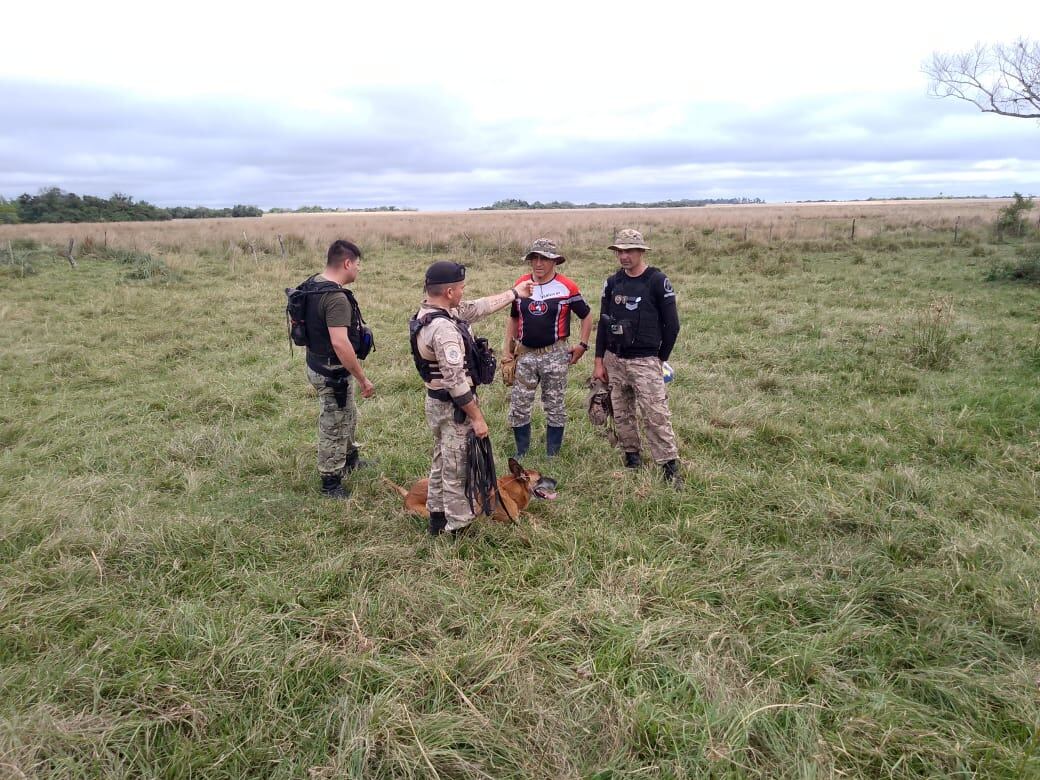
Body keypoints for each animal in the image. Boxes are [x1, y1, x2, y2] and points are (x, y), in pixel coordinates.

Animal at [386, 457, 557, 526]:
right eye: (540, 478)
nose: (557, 481)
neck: (509, 490)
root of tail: (408, 495)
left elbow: (530, 515)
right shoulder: (511, 521)